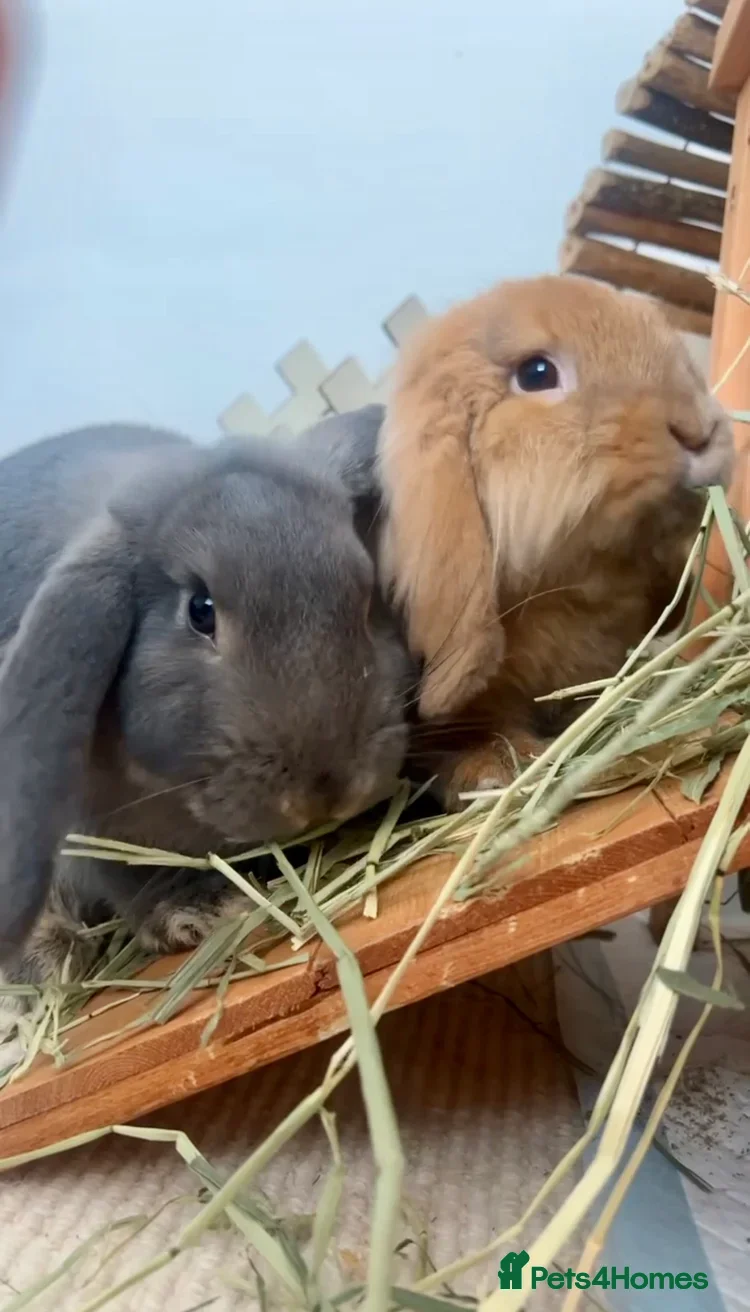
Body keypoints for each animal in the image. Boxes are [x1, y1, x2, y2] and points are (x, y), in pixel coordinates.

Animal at [0, 422, 414, 996]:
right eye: (200, 610)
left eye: (367, 593)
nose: (326, 791)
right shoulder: (95, 834)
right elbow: (132, 875)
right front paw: (207, 910)